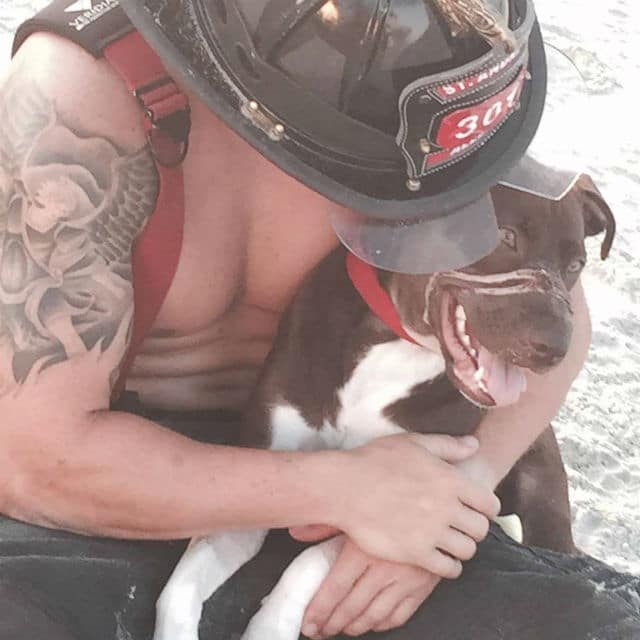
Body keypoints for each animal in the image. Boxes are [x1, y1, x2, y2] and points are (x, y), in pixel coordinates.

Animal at [154, 175, 616, 640]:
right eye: (506, 237)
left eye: (576, 265)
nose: (556, 350)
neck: (396, 344)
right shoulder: (265, 477)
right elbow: (181, 586)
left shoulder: (406, 502)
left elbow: (308, 563)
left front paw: (272, 623)